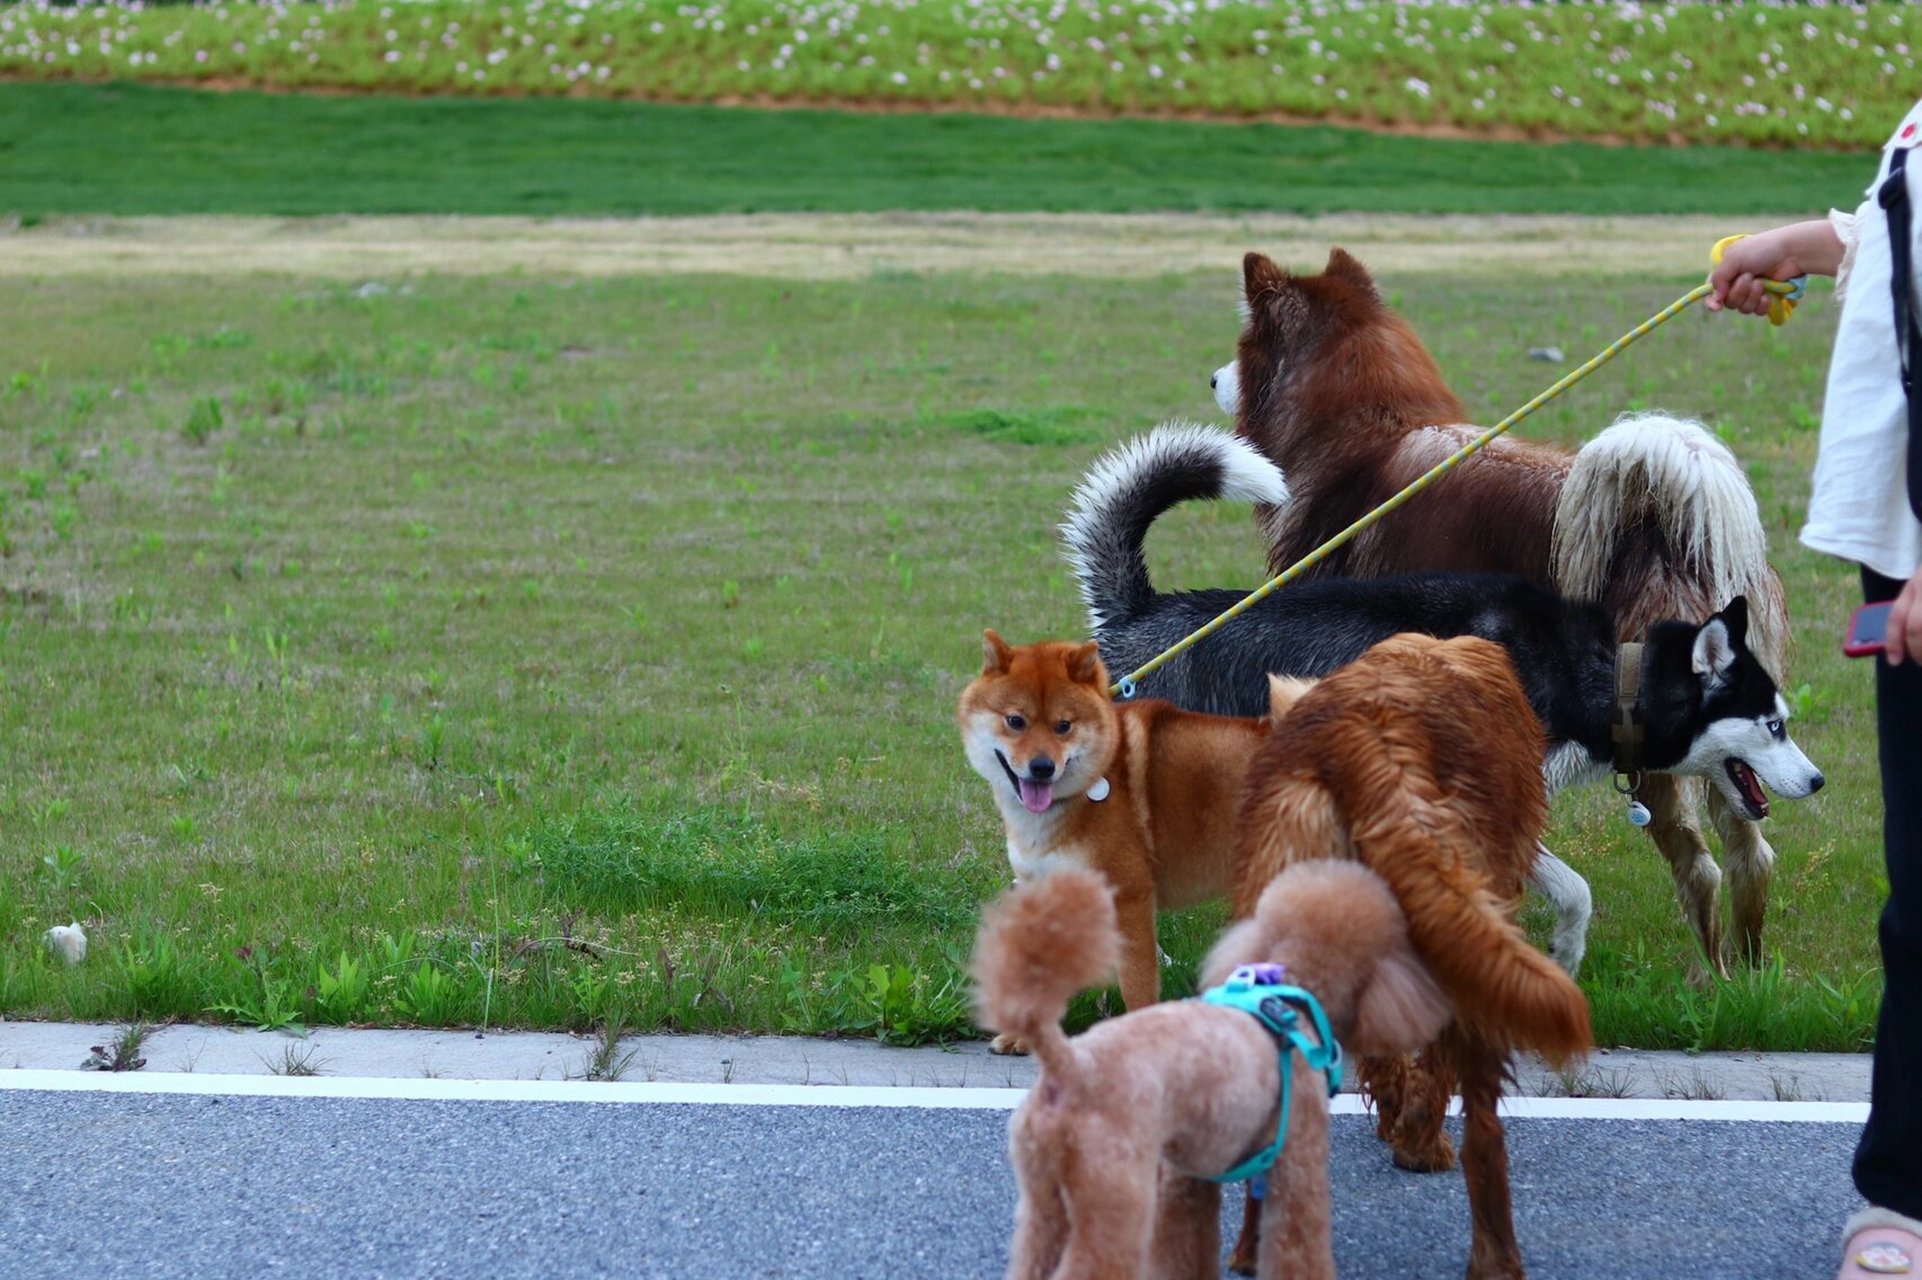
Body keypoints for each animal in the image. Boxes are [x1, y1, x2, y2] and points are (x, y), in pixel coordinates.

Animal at [957, 626, 1314, 1045]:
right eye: (1015, 721)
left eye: (1064, 725)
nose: (1042, 767)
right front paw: (1025, 1037)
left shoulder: (1128, 897)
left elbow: (1136, 983)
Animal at [968, 857, 1445, 1276]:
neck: (1290, 994)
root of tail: (1069, 1065)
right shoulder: (1297, 1165)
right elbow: (1297, 1246)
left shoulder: (1191, 1177)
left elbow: (1187, 1245)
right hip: (1113, 1192)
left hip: (1044, 1196)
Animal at [1222, 630, 1599, 1276]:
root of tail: (1369, 739)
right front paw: (1413, 1133)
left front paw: (1396, 1115)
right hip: (1473, 947)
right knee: (1484, 1139)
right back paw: (1490, 1249)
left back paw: (1253, 1247)